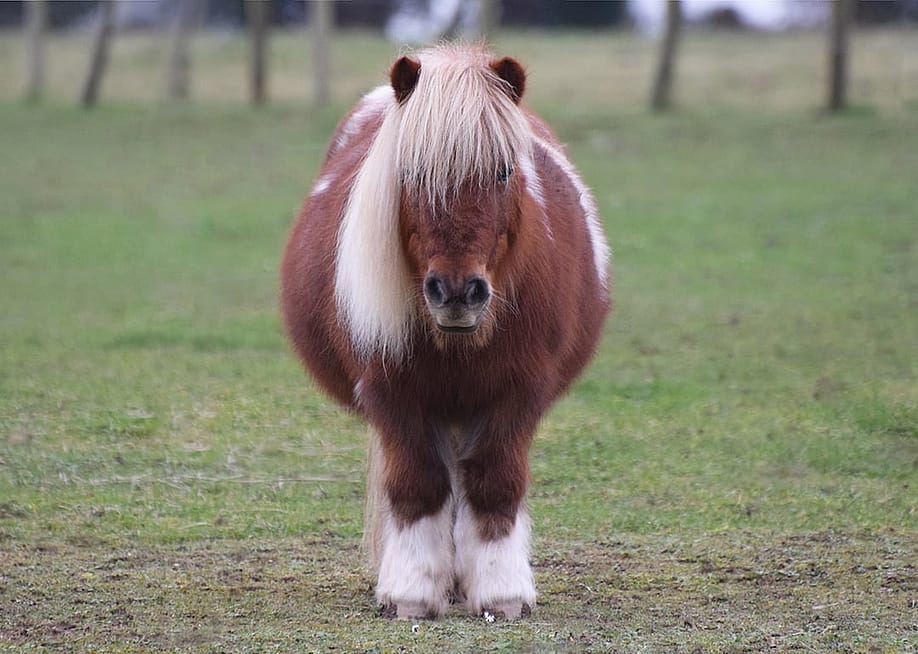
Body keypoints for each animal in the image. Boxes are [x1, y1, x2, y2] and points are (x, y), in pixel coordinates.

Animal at [280, 44, 611, 620]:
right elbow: (418, 485)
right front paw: (412, 591)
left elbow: (495, 483)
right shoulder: (392, 394)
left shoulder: (519, 392)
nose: (457, 292)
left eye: (503, 171)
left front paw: (501, 591)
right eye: (411, 173)